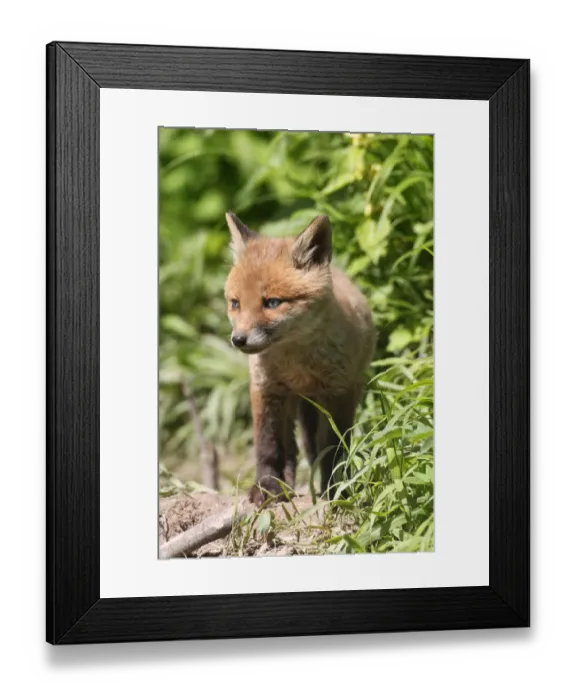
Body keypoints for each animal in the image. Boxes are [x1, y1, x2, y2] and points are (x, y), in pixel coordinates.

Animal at [224, 212, 376, 506]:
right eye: (235, 303)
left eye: (272, 302)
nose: (238, 340)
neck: (296, 365)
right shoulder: (266, 389)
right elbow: (268, 446)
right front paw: (266, 487)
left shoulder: (338, 393)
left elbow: (333, 449)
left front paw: (335, 490)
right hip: (291, 405)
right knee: (292, 450)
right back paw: (286, 485)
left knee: (313, 447)